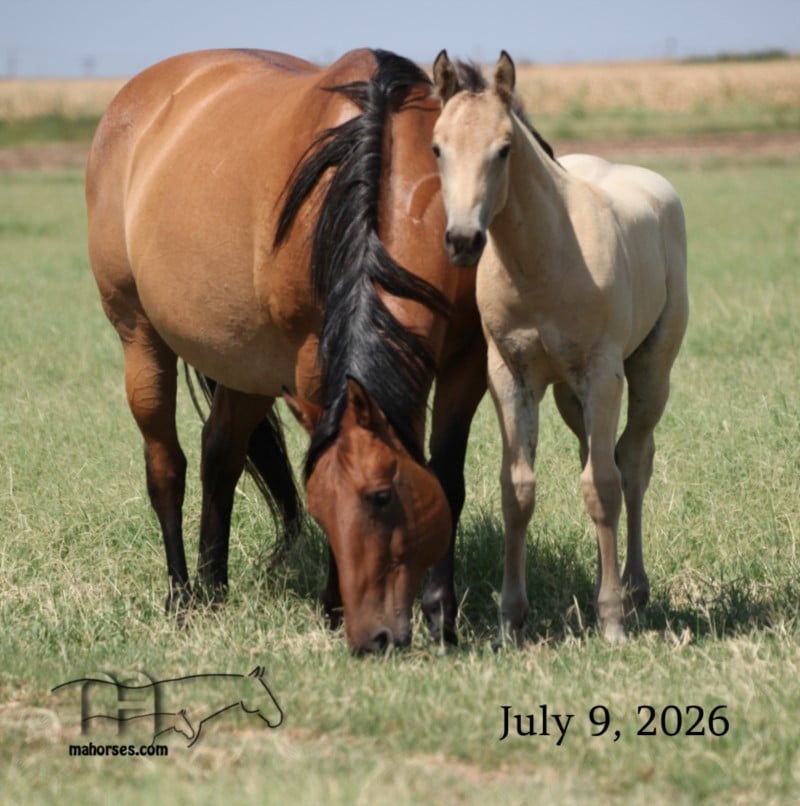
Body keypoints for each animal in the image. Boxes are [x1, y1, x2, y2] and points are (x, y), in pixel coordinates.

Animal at [86, 48, 486, 653]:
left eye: (381, 498)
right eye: (321, 508)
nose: (374, 636)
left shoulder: (468, 360)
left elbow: (449, 479)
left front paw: (443, 617)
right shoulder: (311, 369)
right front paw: (332, 607)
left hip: (245, 366)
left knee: (220, 455)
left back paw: (214, 587)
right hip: (139, 336)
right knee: (166, 467)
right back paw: (181, 597)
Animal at [431, 51, 689, 642]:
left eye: (504, 148)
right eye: (436, 146)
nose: (463, 241)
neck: (542, 263)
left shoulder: (602, 374)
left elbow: (604, 487)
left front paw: (612, 621)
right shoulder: (510, 376)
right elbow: (518, 490)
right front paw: (509, 620)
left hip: (648, 372)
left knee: (631, 461)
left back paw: (633, 591)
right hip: (571, 396)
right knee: (595, 457)